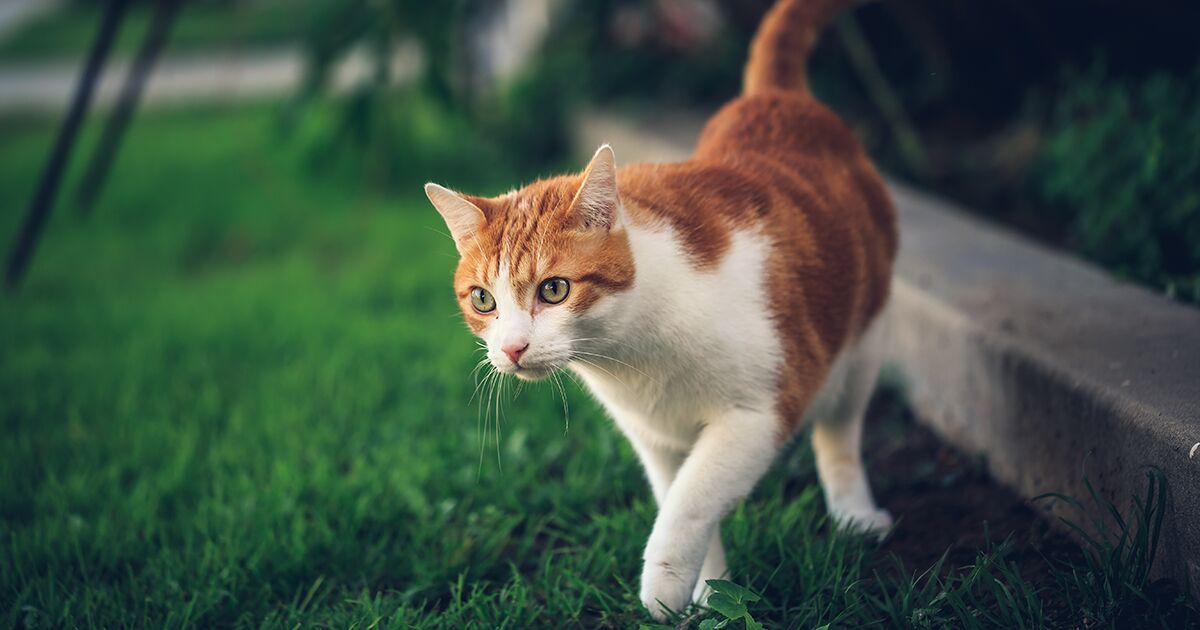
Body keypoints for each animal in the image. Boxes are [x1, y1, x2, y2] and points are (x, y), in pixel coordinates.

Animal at [427, 0, 897, 619]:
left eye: (554, 290)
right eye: (483, 299)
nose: (511, 348)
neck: (634, 355)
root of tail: (777, 97)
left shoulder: (759, 412)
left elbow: (691, 500)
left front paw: (663, 587)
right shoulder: (653, 439)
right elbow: (684, 500)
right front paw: (710, 596)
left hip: (863, 339)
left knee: (840, 430)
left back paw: (855, 514)